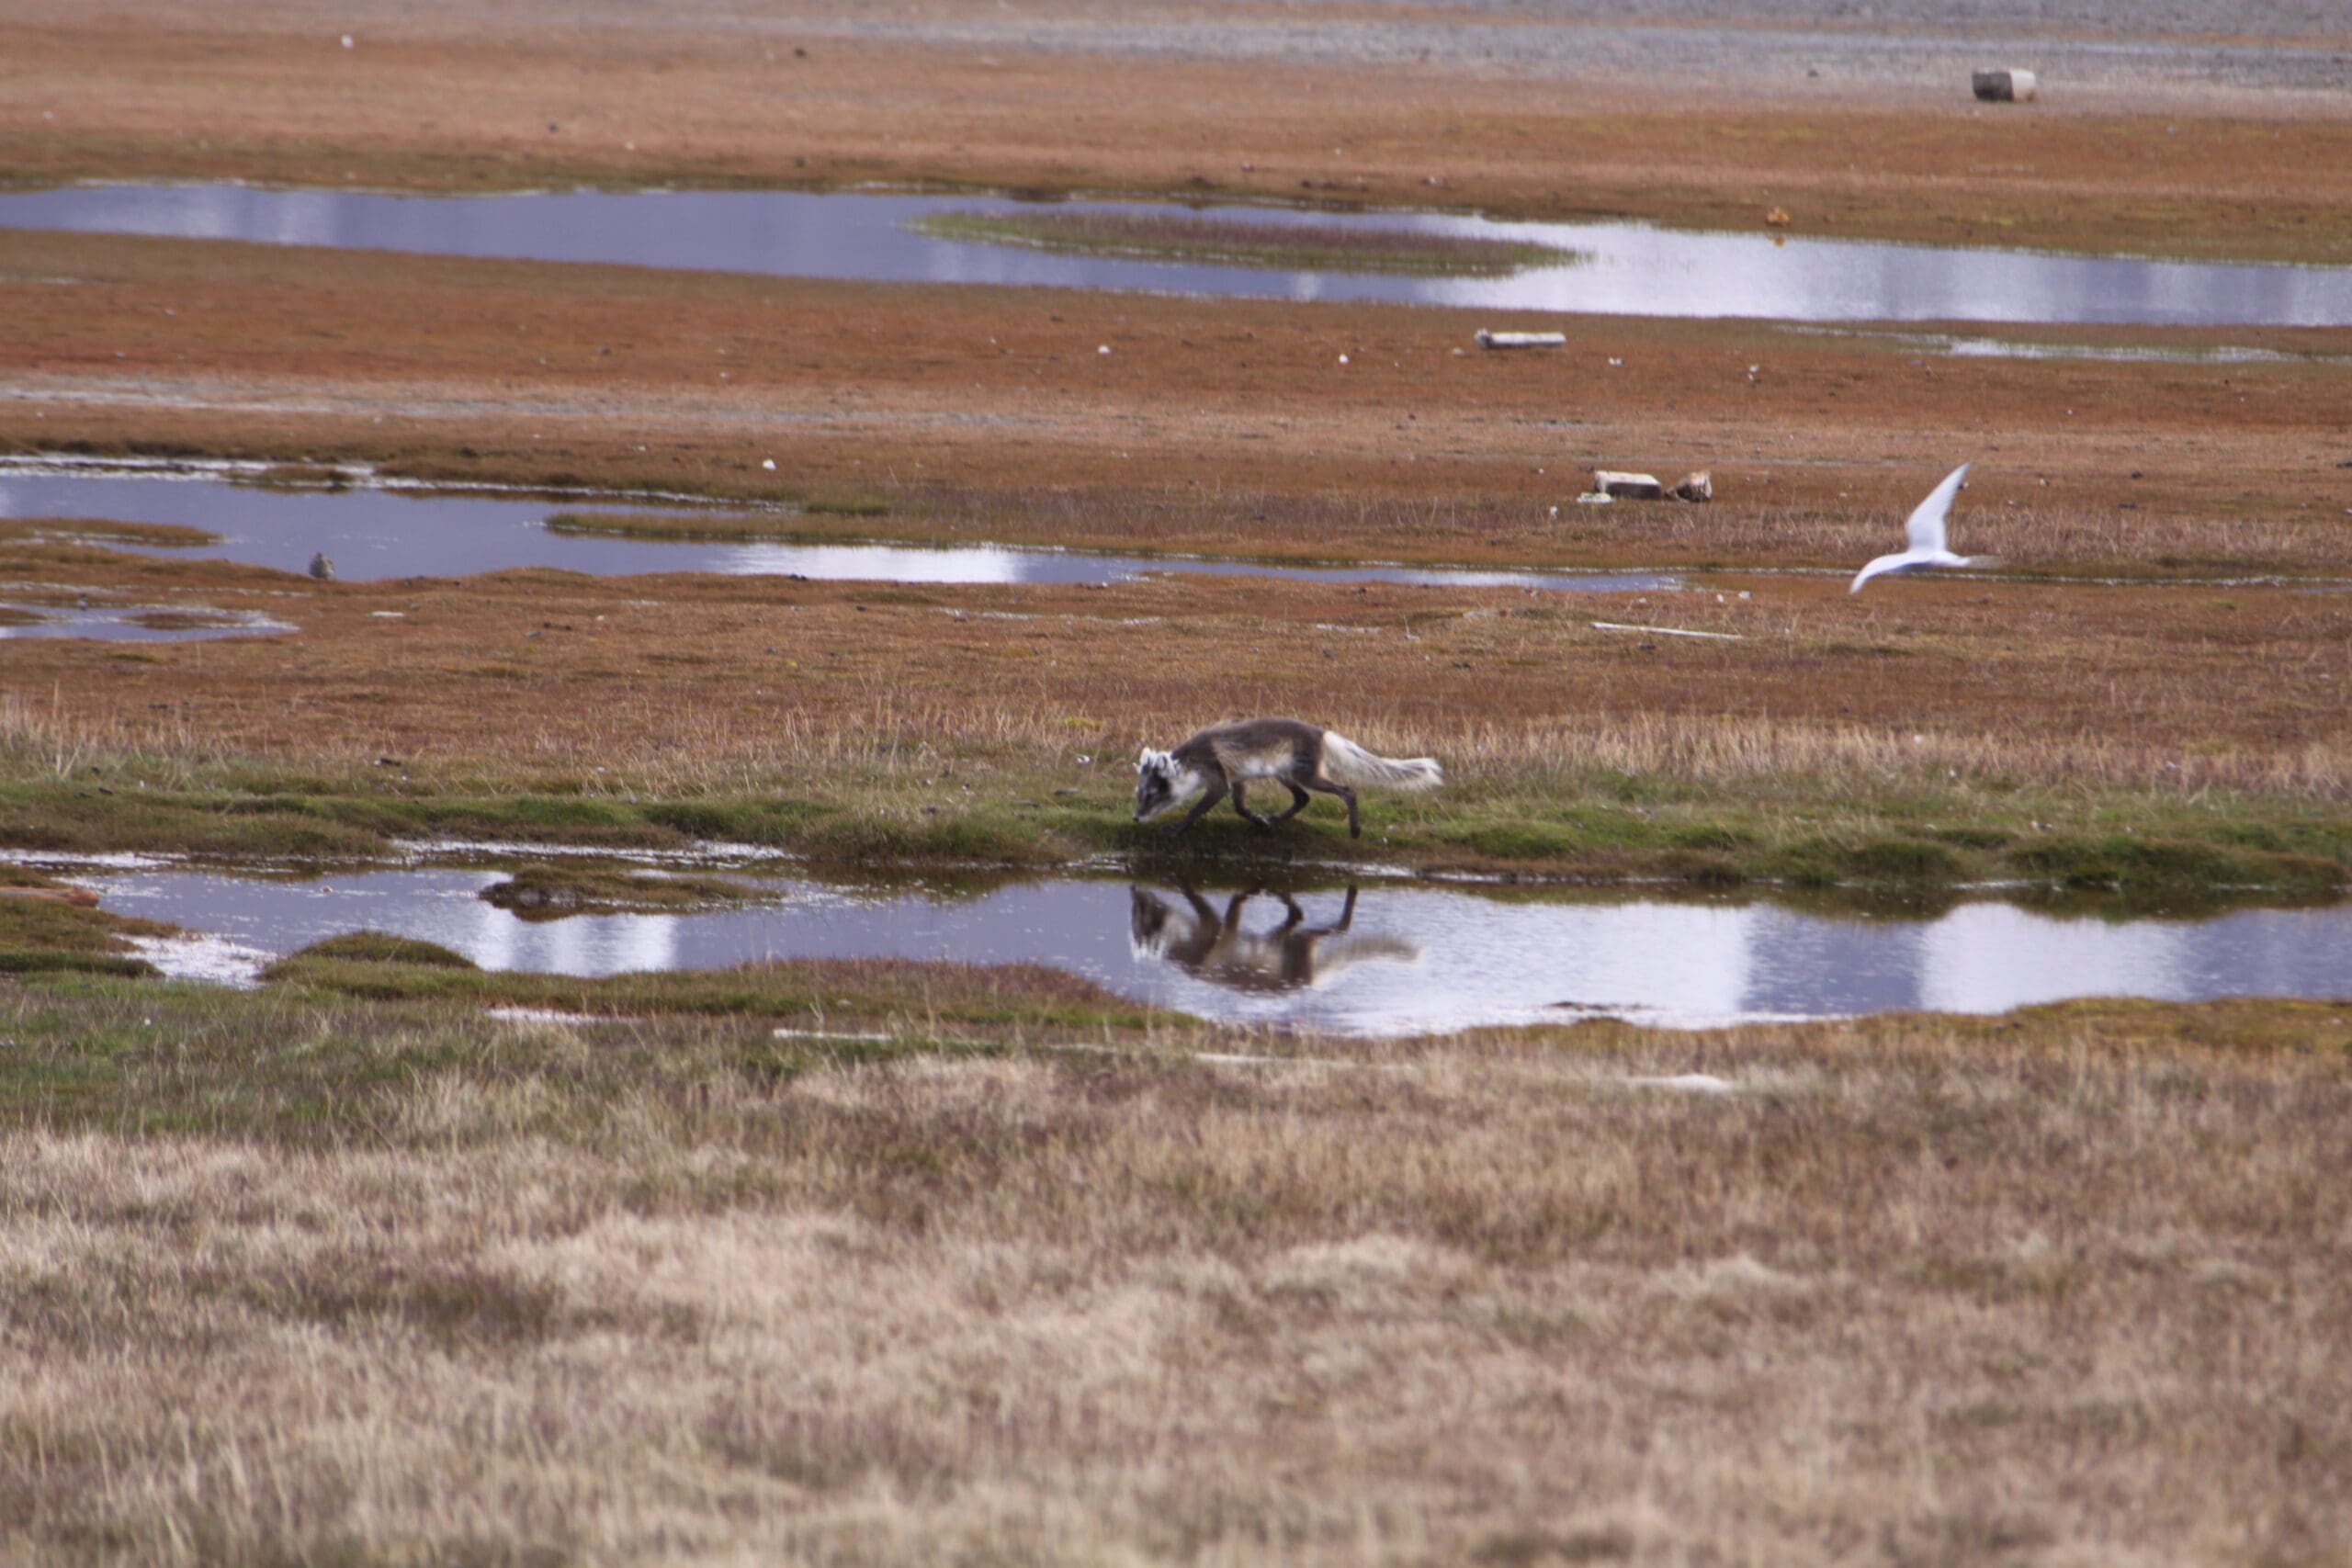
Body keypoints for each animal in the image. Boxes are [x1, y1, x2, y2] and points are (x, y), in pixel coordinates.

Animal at [1133, 717, 1443, 838]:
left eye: (1152, 795)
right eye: (1139, 794)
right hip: (1285, 774)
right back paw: (1273, 820)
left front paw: (1177, 827)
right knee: (1303, 799)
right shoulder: (1238, 777)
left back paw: (1354, 828)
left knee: (1346, 790)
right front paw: (1258, 819)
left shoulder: (1218, 779)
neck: (1192, 762)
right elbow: (1240, 807)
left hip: (1306, 773)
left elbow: (1197, 809)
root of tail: (1322, 733)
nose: (1135, 818)